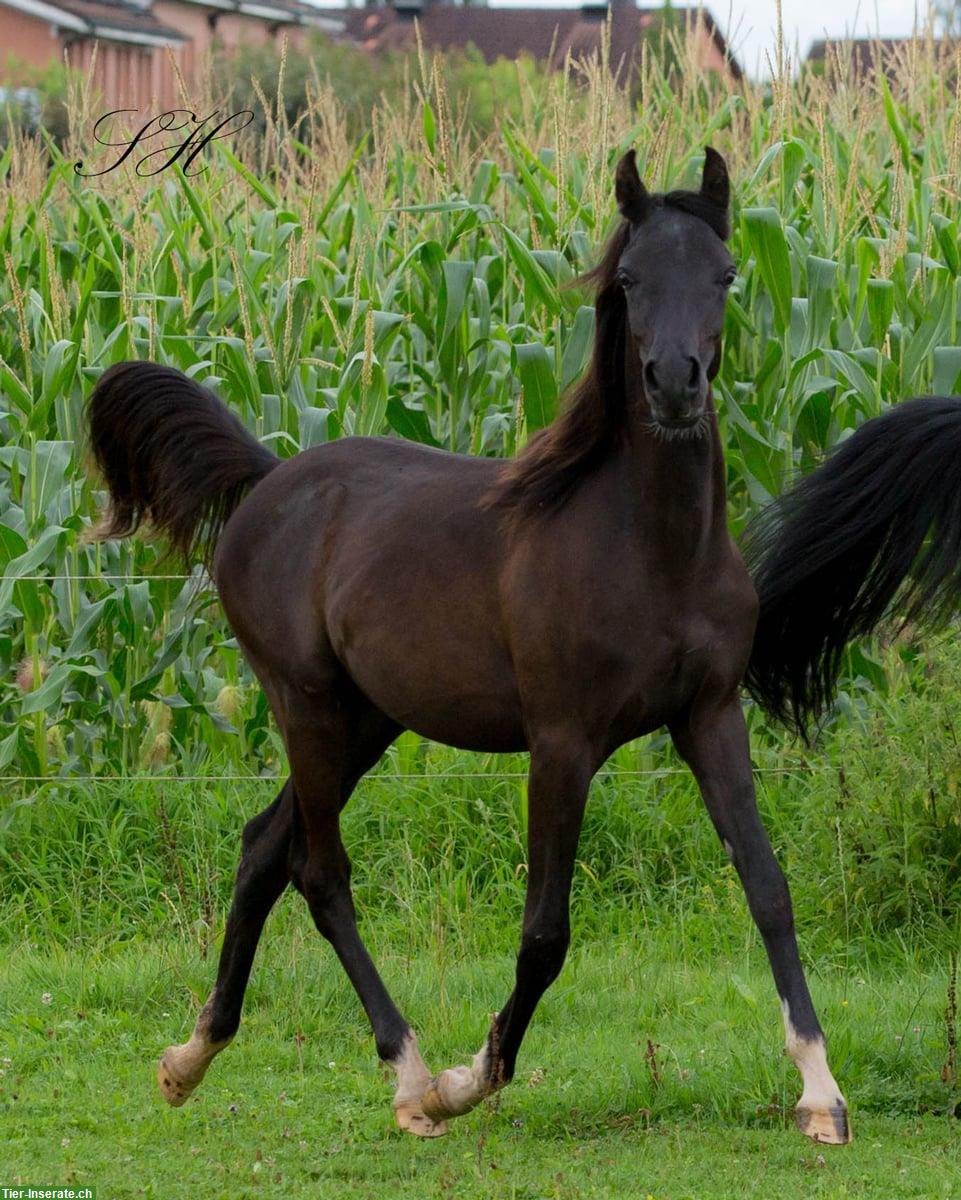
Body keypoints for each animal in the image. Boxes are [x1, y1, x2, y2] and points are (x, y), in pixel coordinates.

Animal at [82, 147, 849, 1142]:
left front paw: (820, 1092)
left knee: (260, 850)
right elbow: (545, 934)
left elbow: (767, 887)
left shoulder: (710, 718)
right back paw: (409, 1078)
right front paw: (470, 1076)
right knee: (318, 874)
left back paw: (189, 1060)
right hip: (306, 707)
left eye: (723, 273)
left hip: (366, 721)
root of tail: (268, 480)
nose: (675, 384)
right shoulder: (562, 742)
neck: (651, 550)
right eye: (630, 280)